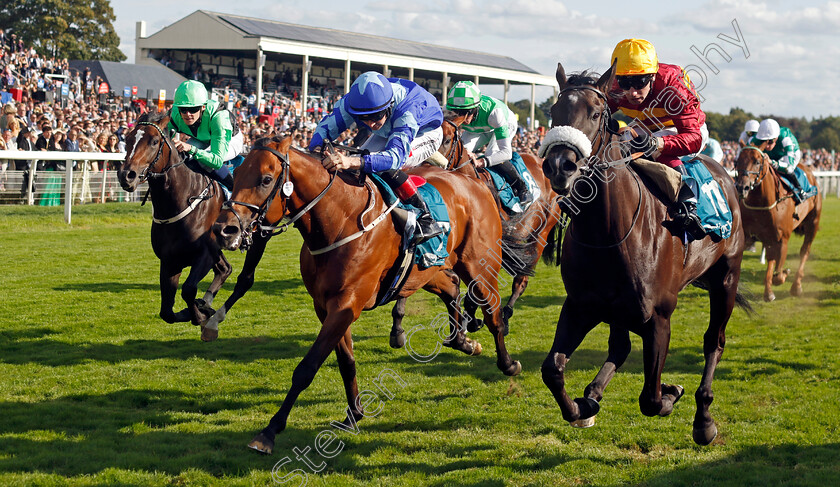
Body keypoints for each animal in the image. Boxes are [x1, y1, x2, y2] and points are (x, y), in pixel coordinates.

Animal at [116, 111, 231, 340]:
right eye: (128, 138)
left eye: (154, 141)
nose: (126, 175)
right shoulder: (170, 260)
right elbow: (167, 312)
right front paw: (197, 310)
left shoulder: (204, 254)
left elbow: (188, 290)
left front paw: (201, 314)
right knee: (225, 269)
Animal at [213, 136, 520, 454]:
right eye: (235, 173)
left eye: (265, 179)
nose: (224, 229)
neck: (341, 220)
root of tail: (472, 180)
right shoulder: (326, 307)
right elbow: (346, 362)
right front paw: (354, 413)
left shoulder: (346, 304)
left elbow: (307, 367)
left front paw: (270, 431)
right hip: (425, 271)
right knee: (451, 287)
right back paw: (463, 341)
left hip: (480, 266)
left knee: (493, 314)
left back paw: (508, 363)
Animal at [540, 63, 748, 446]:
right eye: (553, 111)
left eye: (596, 113)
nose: (560, 166)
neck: (607, 233)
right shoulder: (579, 307)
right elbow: (552, 369)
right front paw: (580, 408)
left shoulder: (658, 319)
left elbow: (650, 398)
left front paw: (671, 393)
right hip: (618, 310)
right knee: (619, 347)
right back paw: (592, 396)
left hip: (726, 277)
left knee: (714, 341)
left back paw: (704, 419)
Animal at [736, 147, 820, 304]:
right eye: (737, 161)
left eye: (757, 162)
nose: (742, 187)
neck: (762, 204)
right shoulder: (750, 237)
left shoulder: (782, 240)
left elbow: (778, 276)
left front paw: (785, 273)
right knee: (771, 259)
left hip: (813, 224)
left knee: (804, 251)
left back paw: (796, 286)